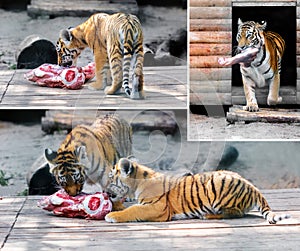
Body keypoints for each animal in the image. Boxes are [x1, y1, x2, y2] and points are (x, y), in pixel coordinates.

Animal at [104, 158, 290, 223]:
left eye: (111, 177)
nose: (105, 191)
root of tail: (253, 186)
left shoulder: (158, 207)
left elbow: (134, 210)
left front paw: (112, 215)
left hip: (218, 185)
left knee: (235, 213)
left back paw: (207, 216)